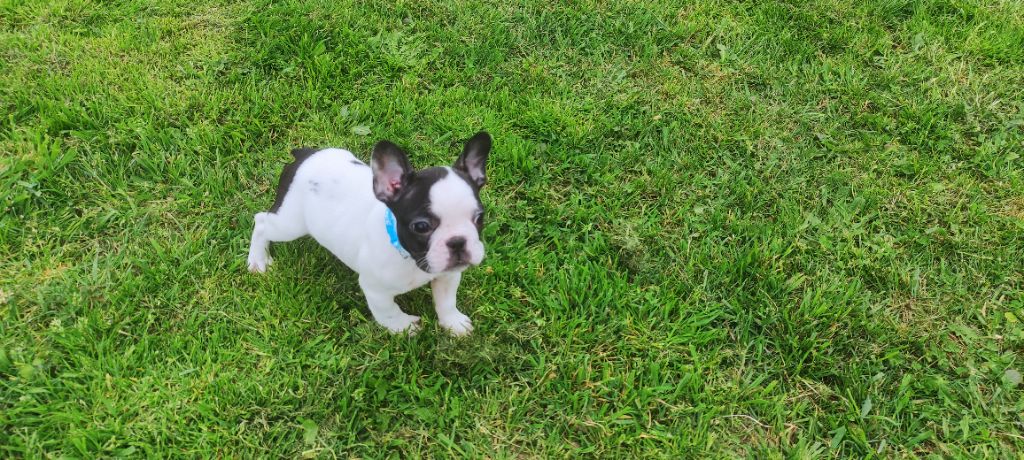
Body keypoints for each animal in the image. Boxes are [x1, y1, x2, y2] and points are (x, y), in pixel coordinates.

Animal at [247, 132, 491, 336]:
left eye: (480, 217)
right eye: (421, 227)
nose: (458, 241)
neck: (409, 257)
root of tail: (305, 155)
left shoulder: (448, 275)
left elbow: (446, 301)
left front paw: (453, 323)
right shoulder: (376, 290)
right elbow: (389, 311)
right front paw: (404, 327)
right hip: (291, 223)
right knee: (261, 222)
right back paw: (258, 260)